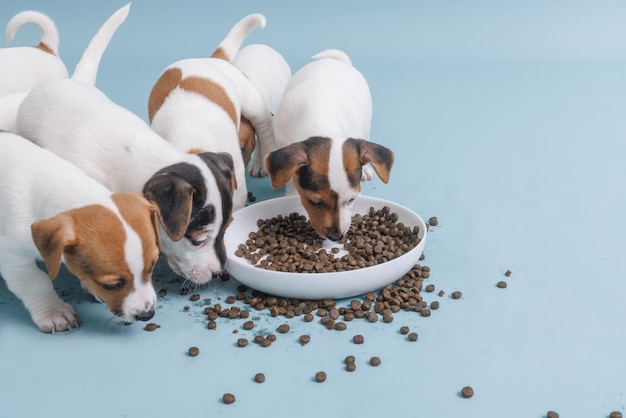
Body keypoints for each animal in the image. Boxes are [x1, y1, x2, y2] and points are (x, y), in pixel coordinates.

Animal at [0, 131, 161, 334]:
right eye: (112, 285)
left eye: (153, 265)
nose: (148, 315)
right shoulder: (12, 258)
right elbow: (36, 283)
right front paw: (53, 312)